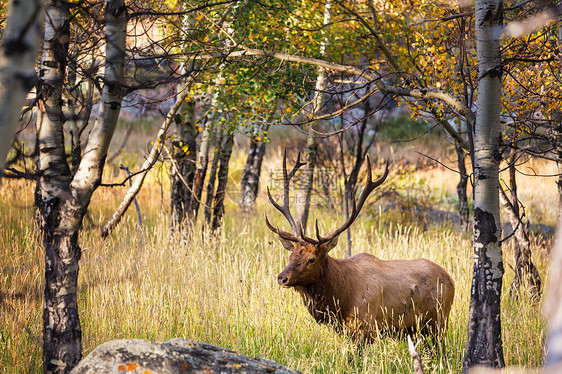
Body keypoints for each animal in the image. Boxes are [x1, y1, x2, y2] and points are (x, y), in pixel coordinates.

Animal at [264, 151, 452, 338]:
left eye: (311, 259)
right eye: (291, 255)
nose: (282, 278)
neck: (342, 296)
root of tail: (451, 280)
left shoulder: (367, 325)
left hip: (439, 322)